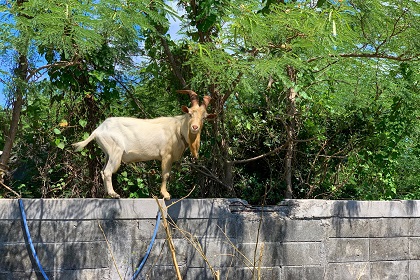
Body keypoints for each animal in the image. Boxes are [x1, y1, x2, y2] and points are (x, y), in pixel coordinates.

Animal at [72, 89, 215, 199]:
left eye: (204, 117)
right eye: (190, 114)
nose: (195, 127)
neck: (178, 128)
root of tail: (98, 130)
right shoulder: (166, 155)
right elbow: (165, 174)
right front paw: (165, 194)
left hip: (108, 153)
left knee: (102, 171)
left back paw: (108, 194)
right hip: (115, 150)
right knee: (107, 171)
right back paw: (114, 194)